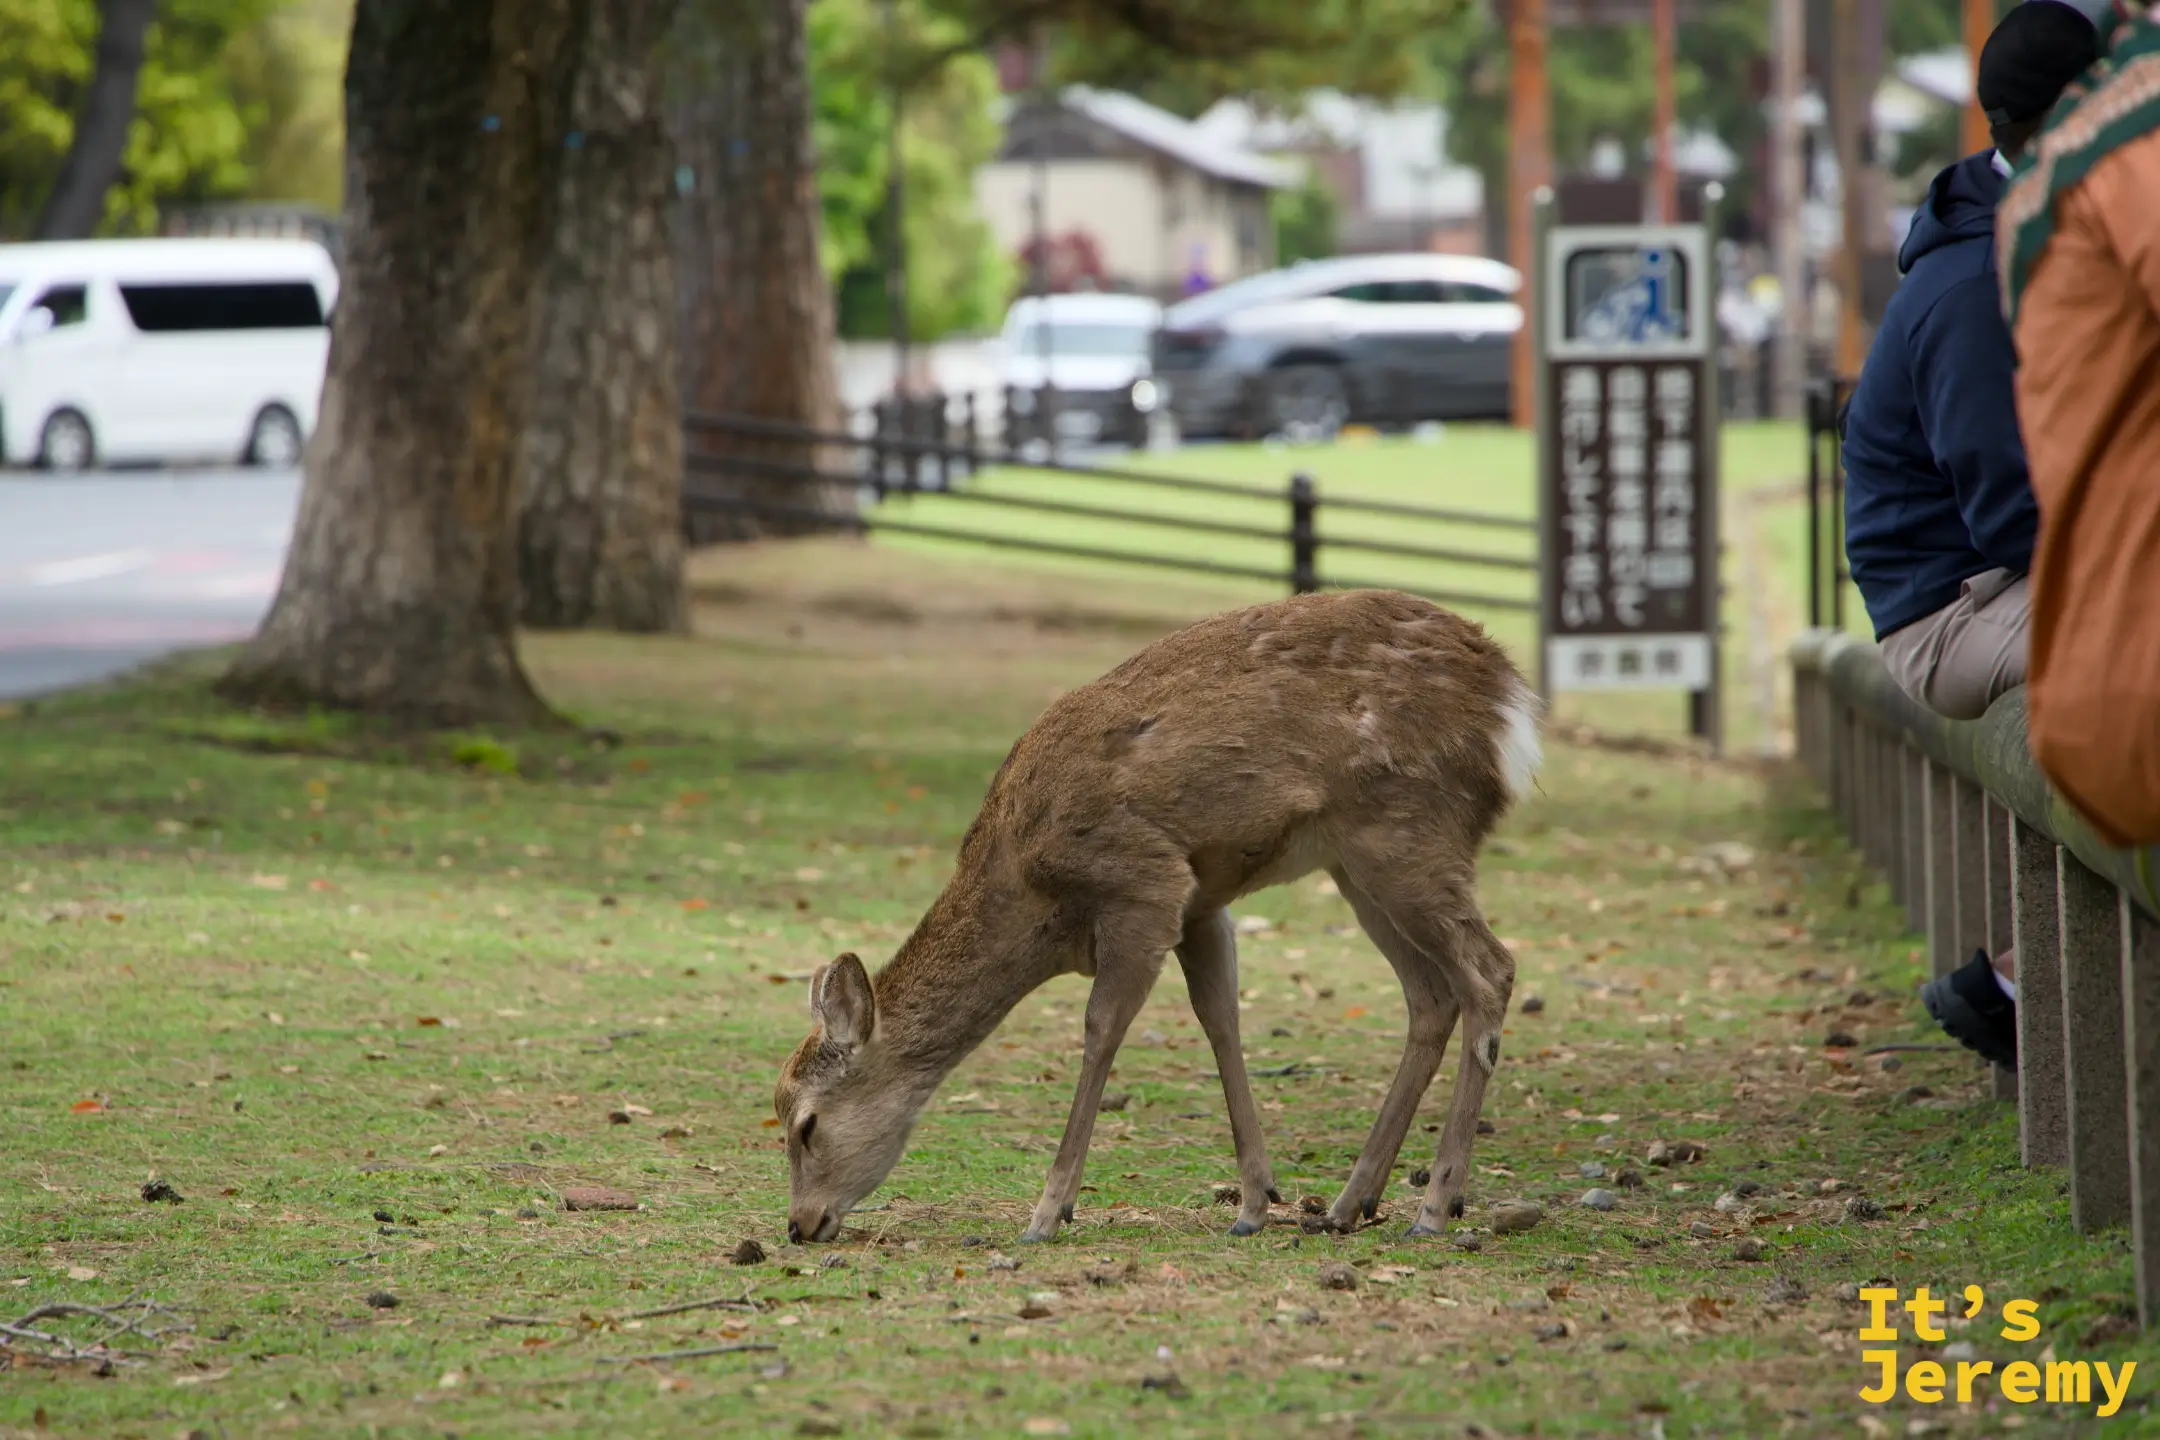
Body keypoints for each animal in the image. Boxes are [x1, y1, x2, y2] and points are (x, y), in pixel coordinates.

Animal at [773, 588, 1543, 1245]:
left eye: (805, 1124)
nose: (800, 1224)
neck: (1031, 896)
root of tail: (1512, 701)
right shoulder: (1201, 902)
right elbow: (1220, 1018)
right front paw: (1256, 1202)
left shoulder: (1144, 882)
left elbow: (1100, 1030)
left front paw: (1049, 1212)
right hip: (1356, 865)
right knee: (1430, 993)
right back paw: (1351, 1203)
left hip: (1409, 827)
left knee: (1491, 969)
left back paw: (1436, 1207)